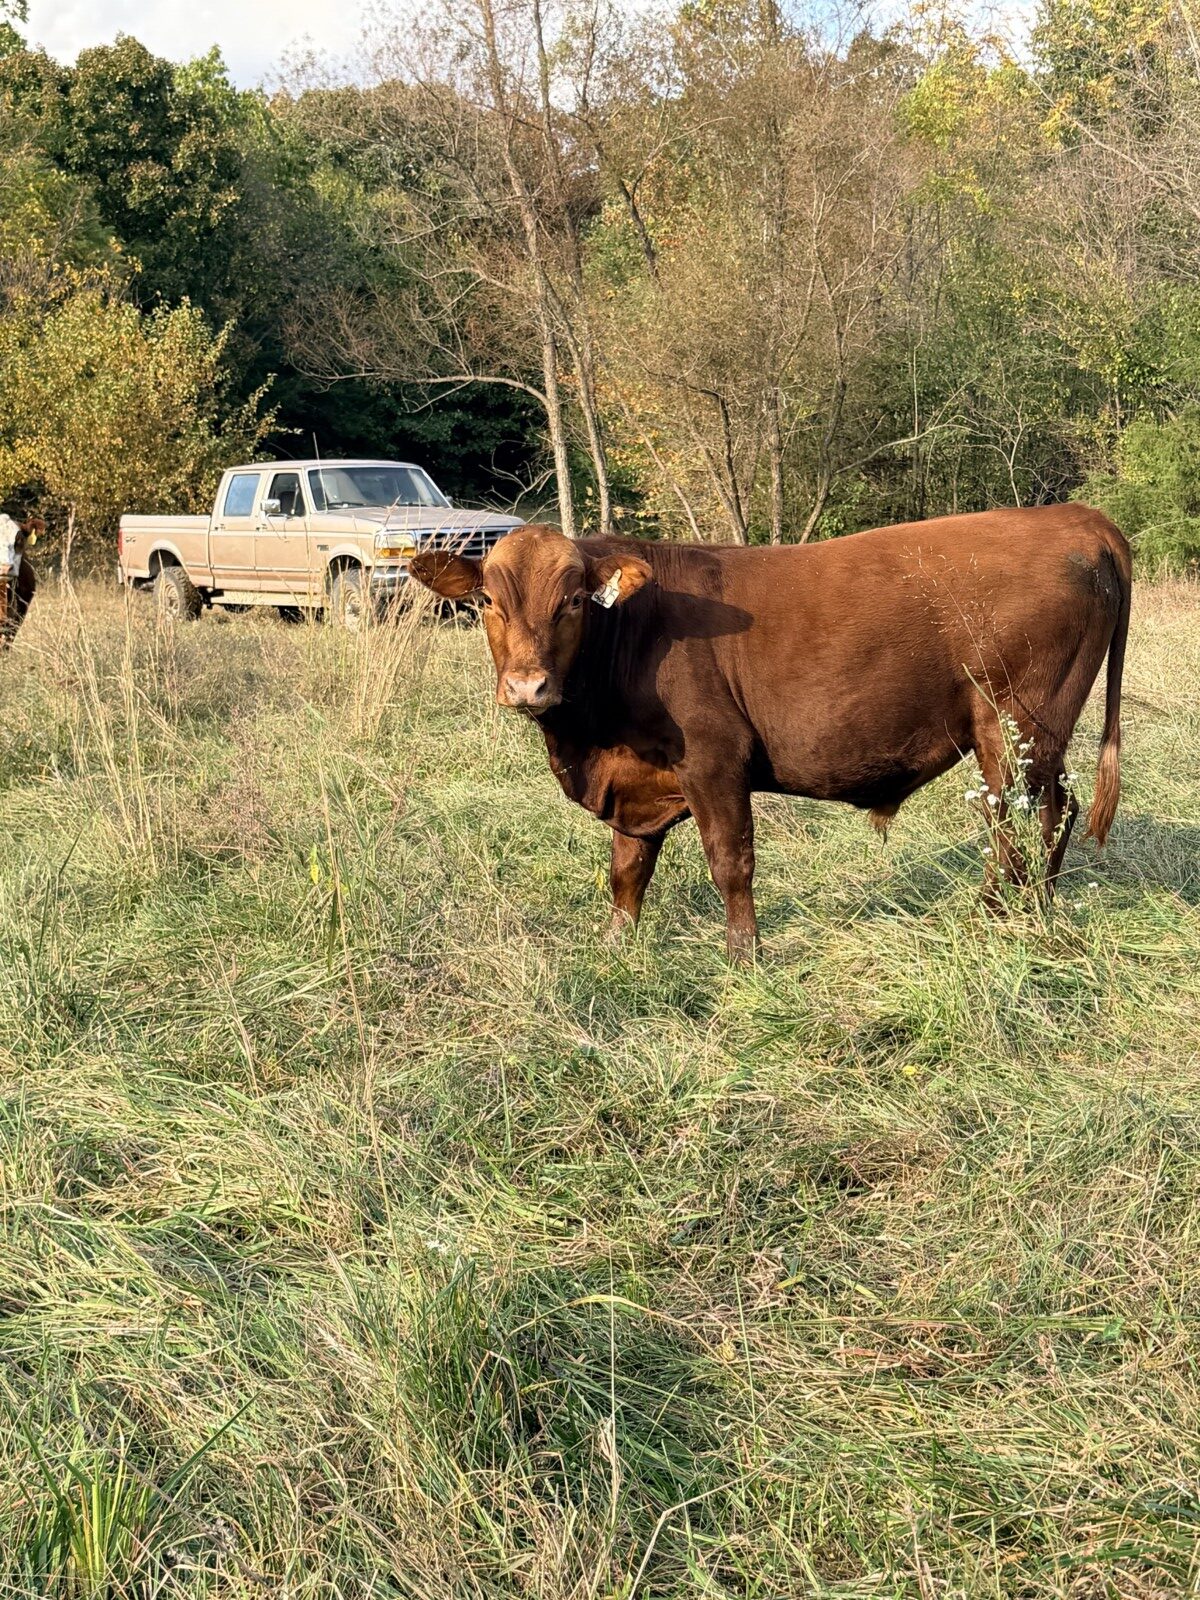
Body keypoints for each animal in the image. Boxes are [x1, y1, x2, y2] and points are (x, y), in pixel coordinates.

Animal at [410, 506, 1131, 960]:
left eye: (572, 602)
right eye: (488, 602)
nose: (527, 686)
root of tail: (1075, 515)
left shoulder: (713, 760)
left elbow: (731, 863)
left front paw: (744, 957)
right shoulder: (637, 782)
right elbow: (627, 870)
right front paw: (615, 948)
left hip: (1013, 725)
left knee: (1022, 822)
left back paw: (998, 917)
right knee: (1054, 814)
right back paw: (1040, 907)